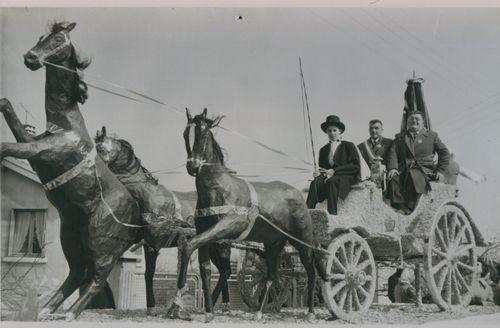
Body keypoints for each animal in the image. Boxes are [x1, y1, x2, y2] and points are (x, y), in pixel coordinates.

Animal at [0, 21, 143, 320]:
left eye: (58, 40)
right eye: (41, 37)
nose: (30, 58)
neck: (65, 124)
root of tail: (137, 220)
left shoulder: (45, 150)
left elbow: (7, 146)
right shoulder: (33, 142)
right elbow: (8, 107)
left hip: (102, 242)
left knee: (96, 278)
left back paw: (68, 313)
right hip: (72, 237)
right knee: (77, 275)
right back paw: (46, 310)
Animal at [170, 109, 330, 322]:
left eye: (203, 132)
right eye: (185, 134)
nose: (193, 166)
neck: (219, 188)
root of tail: (297, 195)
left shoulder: (228, 225)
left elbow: (189, 245)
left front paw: (178, 298)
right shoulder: (205, 230)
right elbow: (204, 267)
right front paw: (208, 311)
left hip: (301, 239)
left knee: (311, 271)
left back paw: (311, 312)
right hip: (274, 243)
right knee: (272, 275)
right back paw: (260, 312)